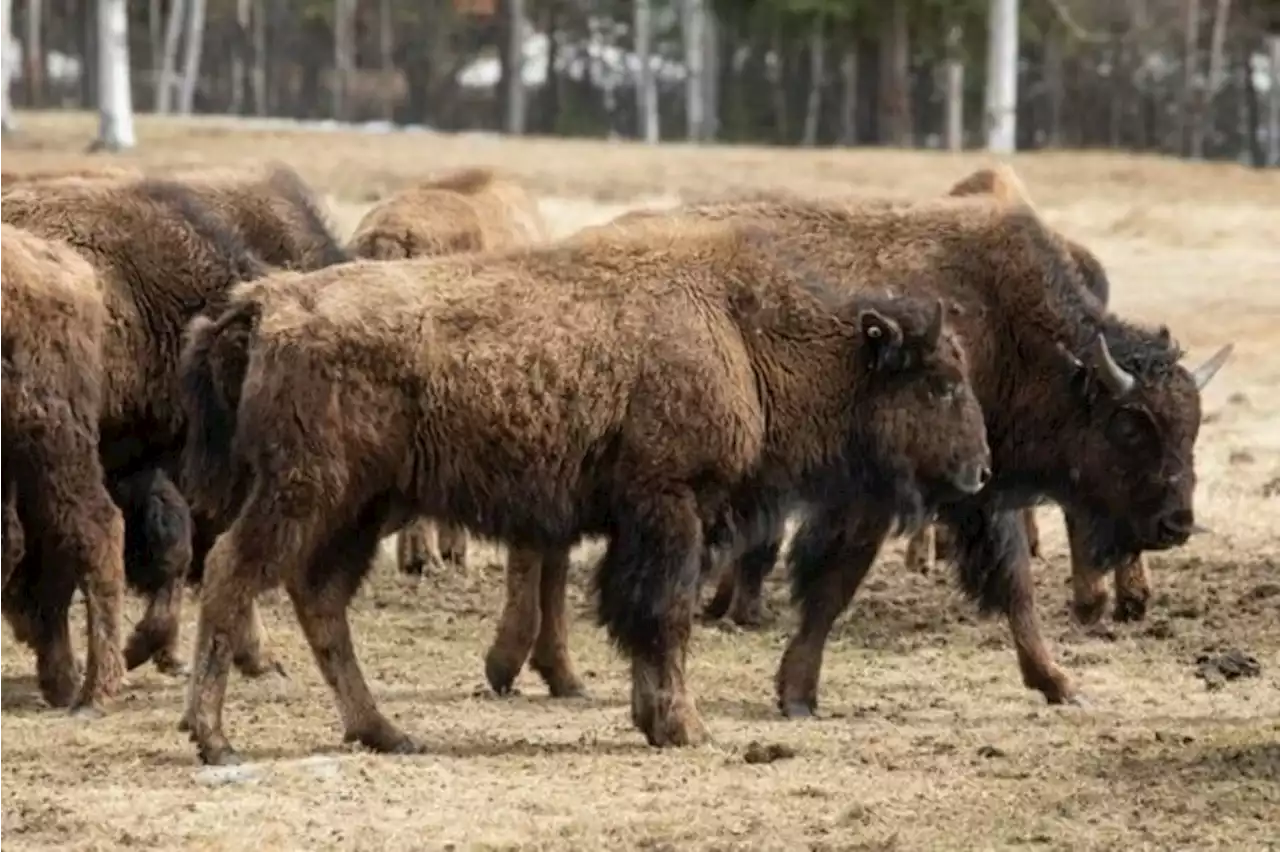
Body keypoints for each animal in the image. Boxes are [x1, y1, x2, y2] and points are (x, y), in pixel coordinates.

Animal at [172, 218, 988, 762]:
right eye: (941, 383)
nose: (980, 469)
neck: (743, 329)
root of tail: (269, 302)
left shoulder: (648, 524)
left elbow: (639, 617)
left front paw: (654, 720)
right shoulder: (672, 507)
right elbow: (665, 617)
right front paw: (686, 726)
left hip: (365, 508)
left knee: (320, 598)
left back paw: (385, 732)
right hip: (307, 492)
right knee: (234, 572)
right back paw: (215, 739)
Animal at [478, 166, 1228, 711]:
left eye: (1192, 426)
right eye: (1131, 425)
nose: (1177, 522)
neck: (1011, 326)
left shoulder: (973, 491)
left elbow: (1004, 584)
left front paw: (1057, 682)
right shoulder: (889, 496)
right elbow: (841, 581)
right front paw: (797, 693)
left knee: (546, 547)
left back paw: (551, 673)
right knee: (540, 548)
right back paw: (525, 666)